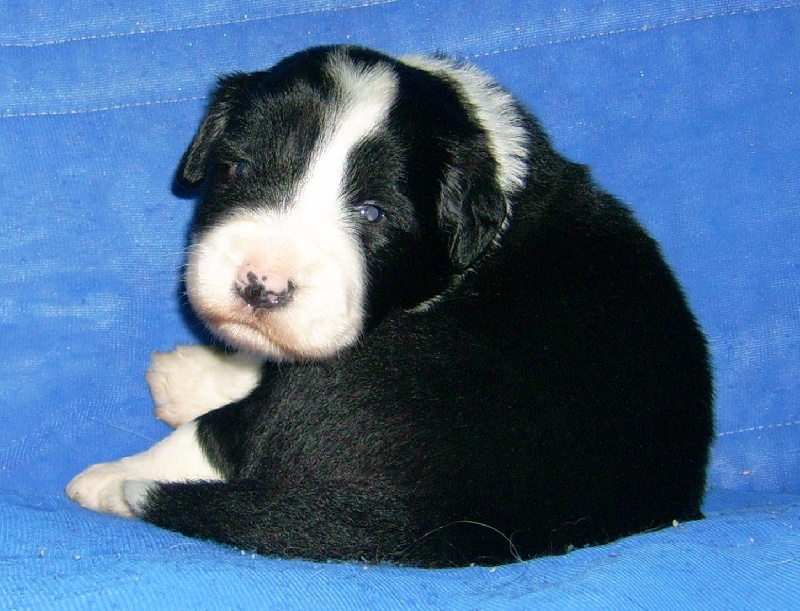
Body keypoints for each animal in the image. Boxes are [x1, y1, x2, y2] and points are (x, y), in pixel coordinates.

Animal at [67, 45, 714, 567]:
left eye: (373, 213)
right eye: (240, 167)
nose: (261, 286)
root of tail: (449, 528)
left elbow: (219, 431)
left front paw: (112, 475)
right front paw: (191, 372)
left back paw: (113, 483)